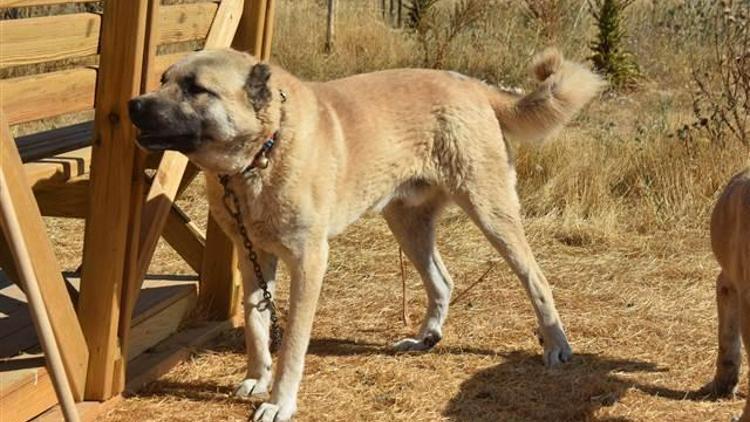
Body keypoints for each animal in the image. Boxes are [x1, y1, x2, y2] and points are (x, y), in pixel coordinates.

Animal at [131, 48, 604, 422]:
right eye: (164, 79)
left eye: (196, 88)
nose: (134, 104)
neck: (265, 149)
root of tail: (474, 85)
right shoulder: (253, 256)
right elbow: (255, 322)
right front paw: (255, 377)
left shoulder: (309, 261)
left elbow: (292, 344)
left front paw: (280, 401)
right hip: (407, 223)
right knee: (442, 280)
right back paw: (425, 337)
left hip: (490, 212)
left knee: (535, 278)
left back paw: (556, 344)